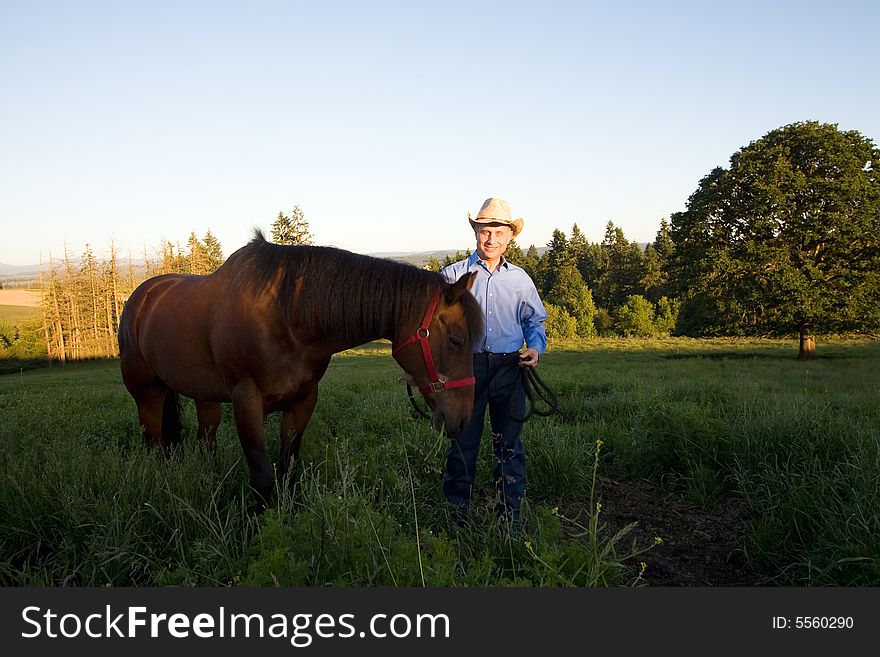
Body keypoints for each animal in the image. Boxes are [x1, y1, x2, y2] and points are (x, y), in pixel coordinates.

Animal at [118, 231, 482, 502]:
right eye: (455, 339)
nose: (464, 419)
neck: (285, 317)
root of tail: (141, 296)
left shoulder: (303, 402)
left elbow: (289, 471)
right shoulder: (246, 403)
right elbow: (263, 478)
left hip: (205, 397)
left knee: (206, 439)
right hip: (148, 395)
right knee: (155, 443)